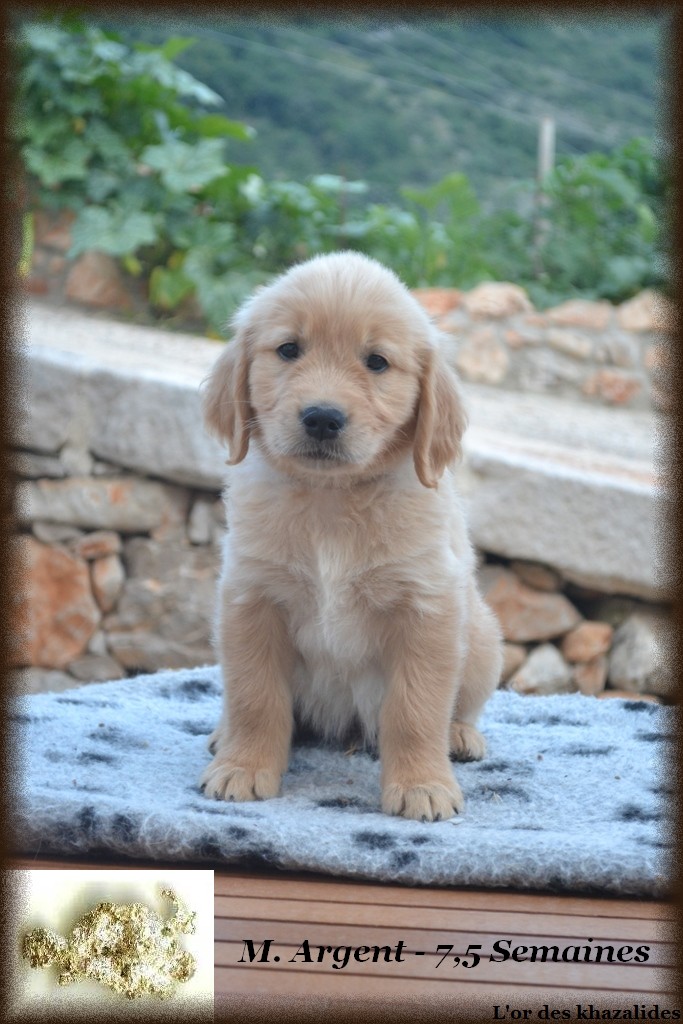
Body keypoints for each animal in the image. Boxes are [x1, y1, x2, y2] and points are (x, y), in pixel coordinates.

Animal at [200, 252, 502, 821]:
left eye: (377, 362)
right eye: (289, 350)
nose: (322, 417)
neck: (332, 501)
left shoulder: (426, 608)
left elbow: (416, 707)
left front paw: (422, 785)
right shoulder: (252, 600)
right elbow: (255, 697)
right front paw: (243, 768)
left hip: (480, 639)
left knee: (459, 704)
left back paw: (458, 735)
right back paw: (222, 735)